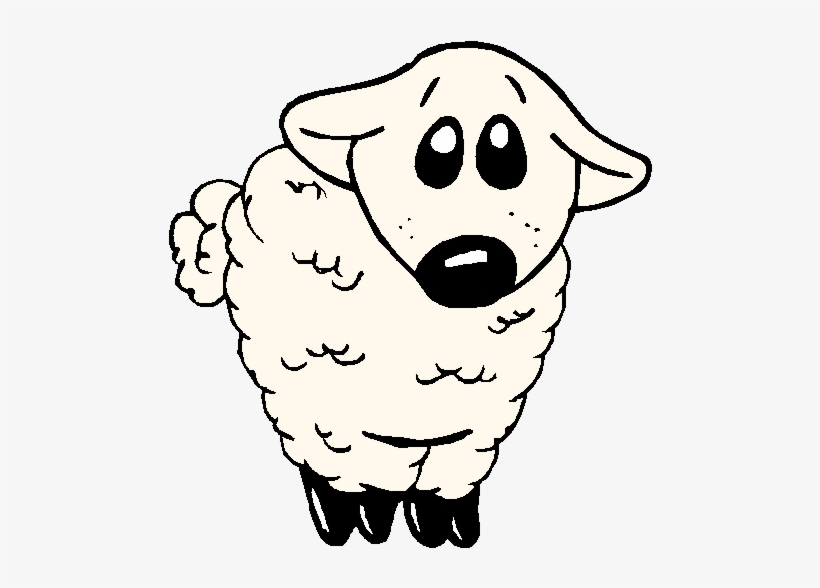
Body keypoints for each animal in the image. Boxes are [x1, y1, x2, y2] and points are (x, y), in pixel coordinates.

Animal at [169, 42, 651, 548]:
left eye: (507, 154)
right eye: (437, 150)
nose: (471, 263)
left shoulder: (476, 425)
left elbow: (446, 484)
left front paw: (444, 523)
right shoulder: (331, 412)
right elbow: (344, 474)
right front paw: (353, 516)